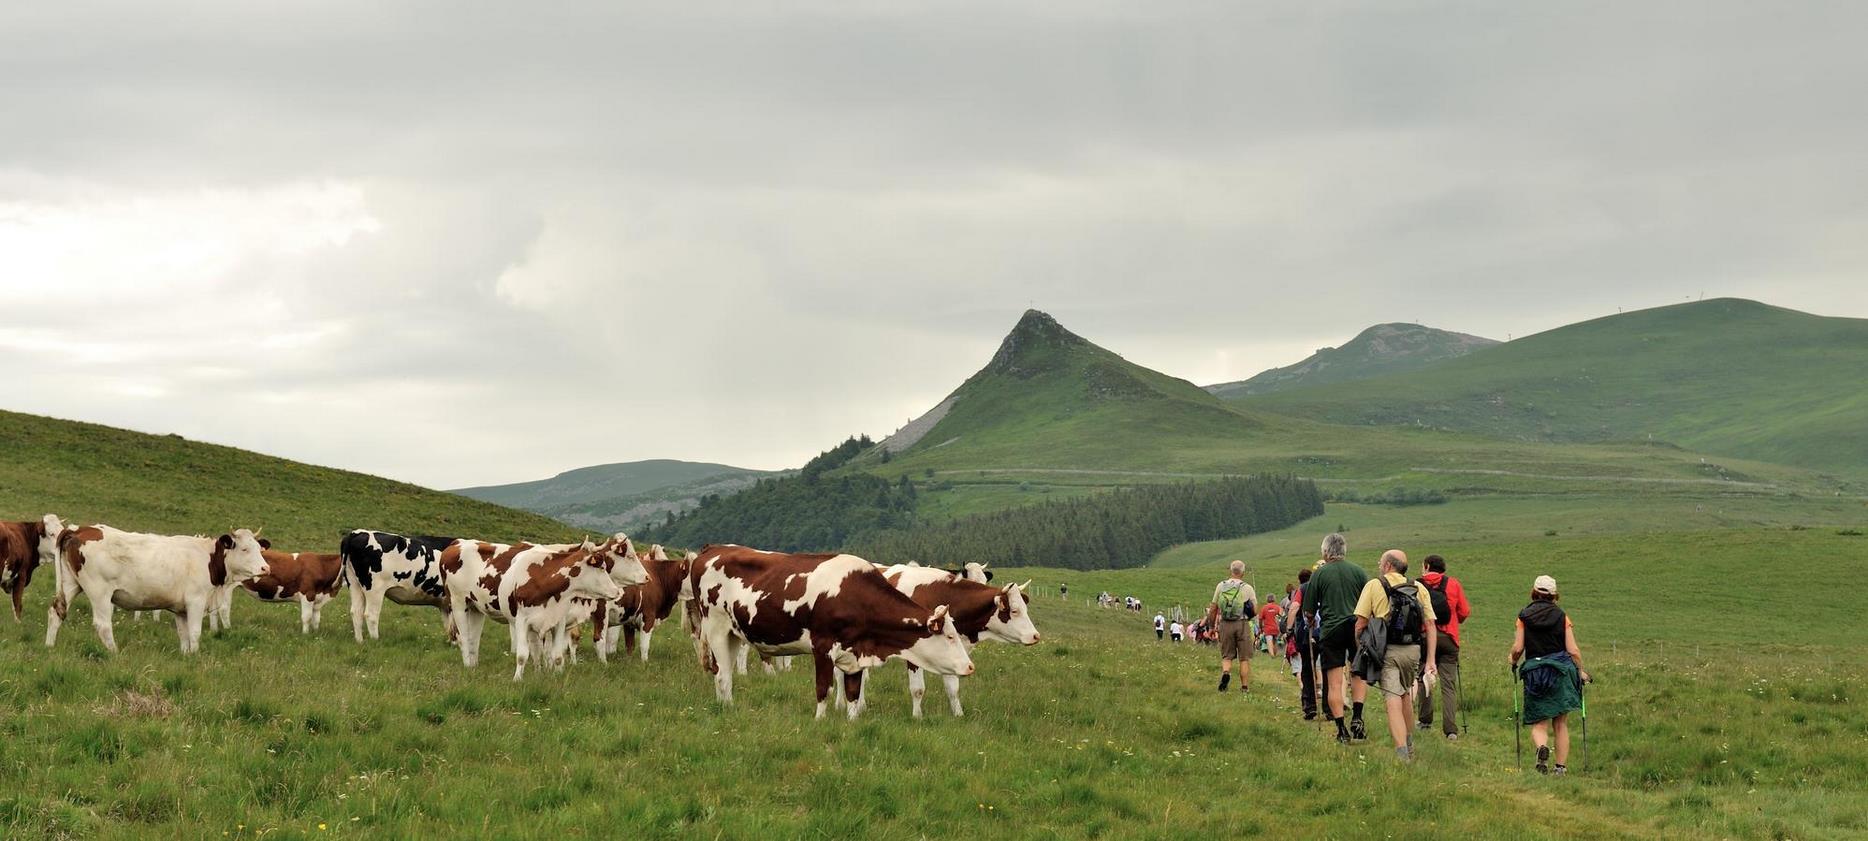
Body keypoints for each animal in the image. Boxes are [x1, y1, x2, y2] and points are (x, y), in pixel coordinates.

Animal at [46, 523, 270, 654]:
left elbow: (184, 634)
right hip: (99, 592)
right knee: (103, 625)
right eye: (244, 549)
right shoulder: (196, 601)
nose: (265, 568)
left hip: (70, 585)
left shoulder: (181, 609)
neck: (207, 558)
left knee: (55, 613)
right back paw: (115, 653)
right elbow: (195, 632)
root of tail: (79, 529)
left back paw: (49, 646)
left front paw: (186, 656)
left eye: (259, 548)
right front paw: (195, 656)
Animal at [212, 549, 347, 635]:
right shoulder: (307, 593)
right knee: (223, 609)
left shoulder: (317, 598)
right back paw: (228, 629)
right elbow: (307, 617)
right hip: (227, 586)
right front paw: (305, 635)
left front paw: (315, 634)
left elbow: (316, 619)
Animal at [440, 534, 646, 680]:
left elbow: (553, 651)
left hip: (475, 608)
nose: (647, 577)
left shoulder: (560, 619)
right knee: (463, 637)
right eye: (629, 556)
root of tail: (457, 543)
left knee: (474, 639)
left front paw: (553, 672)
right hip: (458, 603)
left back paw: (474, 666)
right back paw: (468, 666)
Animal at [691, 549, 978, 717]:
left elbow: (853, 694)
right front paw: (820, 721)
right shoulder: (822, 646)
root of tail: (711, 550)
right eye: (950, 637)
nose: (970, 666)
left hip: (732, 635)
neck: (855, 595)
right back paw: (727, 709)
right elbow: (824, 689)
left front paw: (852, 724)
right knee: (724, 676)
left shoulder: (856, 652)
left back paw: (724, 706)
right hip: (716, 629)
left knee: (721, 673)